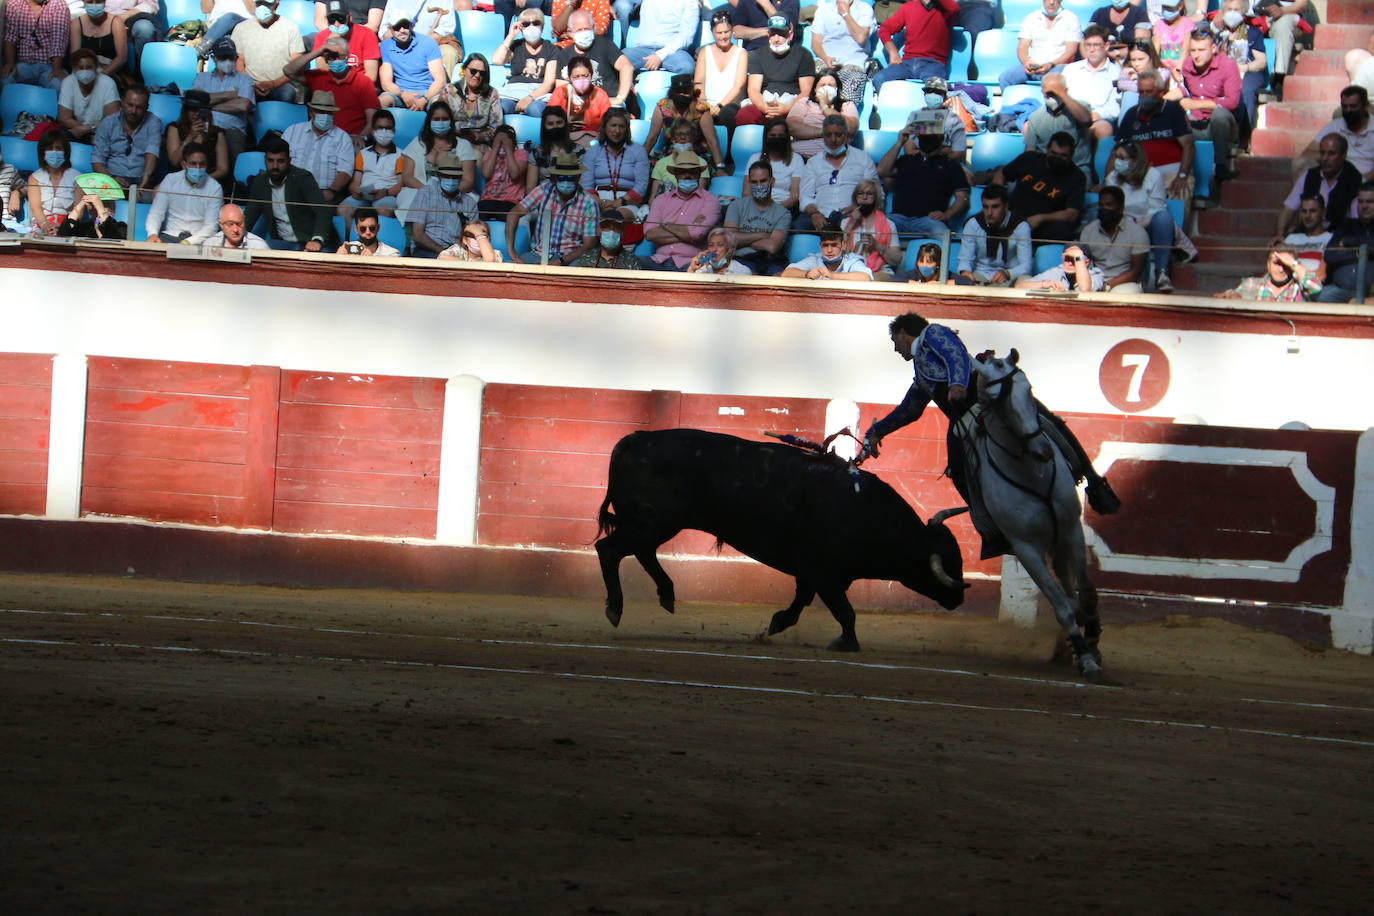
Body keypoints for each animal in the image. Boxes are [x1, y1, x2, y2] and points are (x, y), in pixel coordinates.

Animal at [596, 431, 972, 650]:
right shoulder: (823, 573)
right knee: (610, 550)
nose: (959, 596)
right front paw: (847, 643)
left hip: (652, 524)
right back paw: (615, 608)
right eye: (943, 564)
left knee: (641, 553)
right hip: (653, 522)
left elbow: (801, 602)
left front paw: (777, 623)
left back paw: (667, 595)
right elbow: (844, 611)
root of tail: (636, 438)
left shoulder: (815, 574)